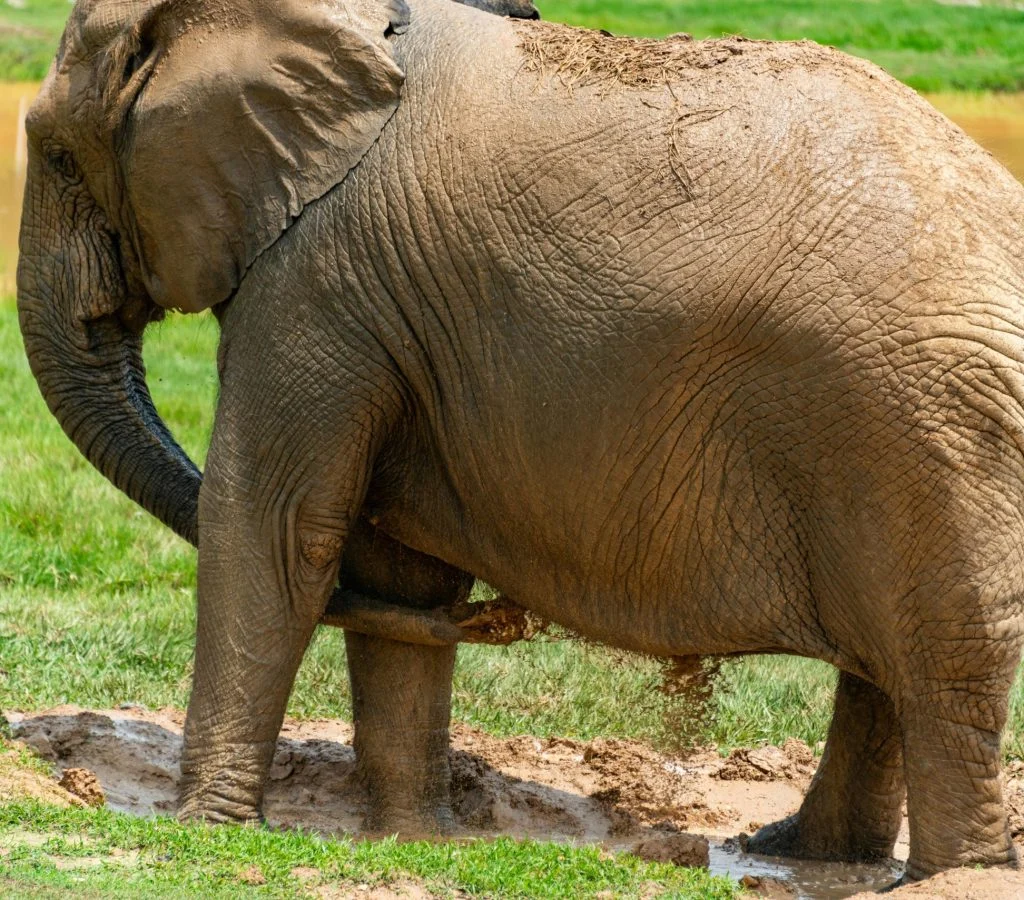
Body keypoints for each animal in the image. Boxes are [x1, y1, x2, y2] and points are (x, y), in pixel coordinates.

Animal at [17, 0, 1024, 883]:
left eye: (59, 155)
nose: (506, 617)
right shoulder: (382, 307)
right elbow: (394, 566)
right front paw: (414, 838)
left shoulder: (316, 276)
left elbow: (274, 524)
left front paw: (204, 829)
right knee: (886, 667)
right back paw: (801, 857)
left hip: (927, 429)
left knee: (942, 672)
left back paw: (945, 874)